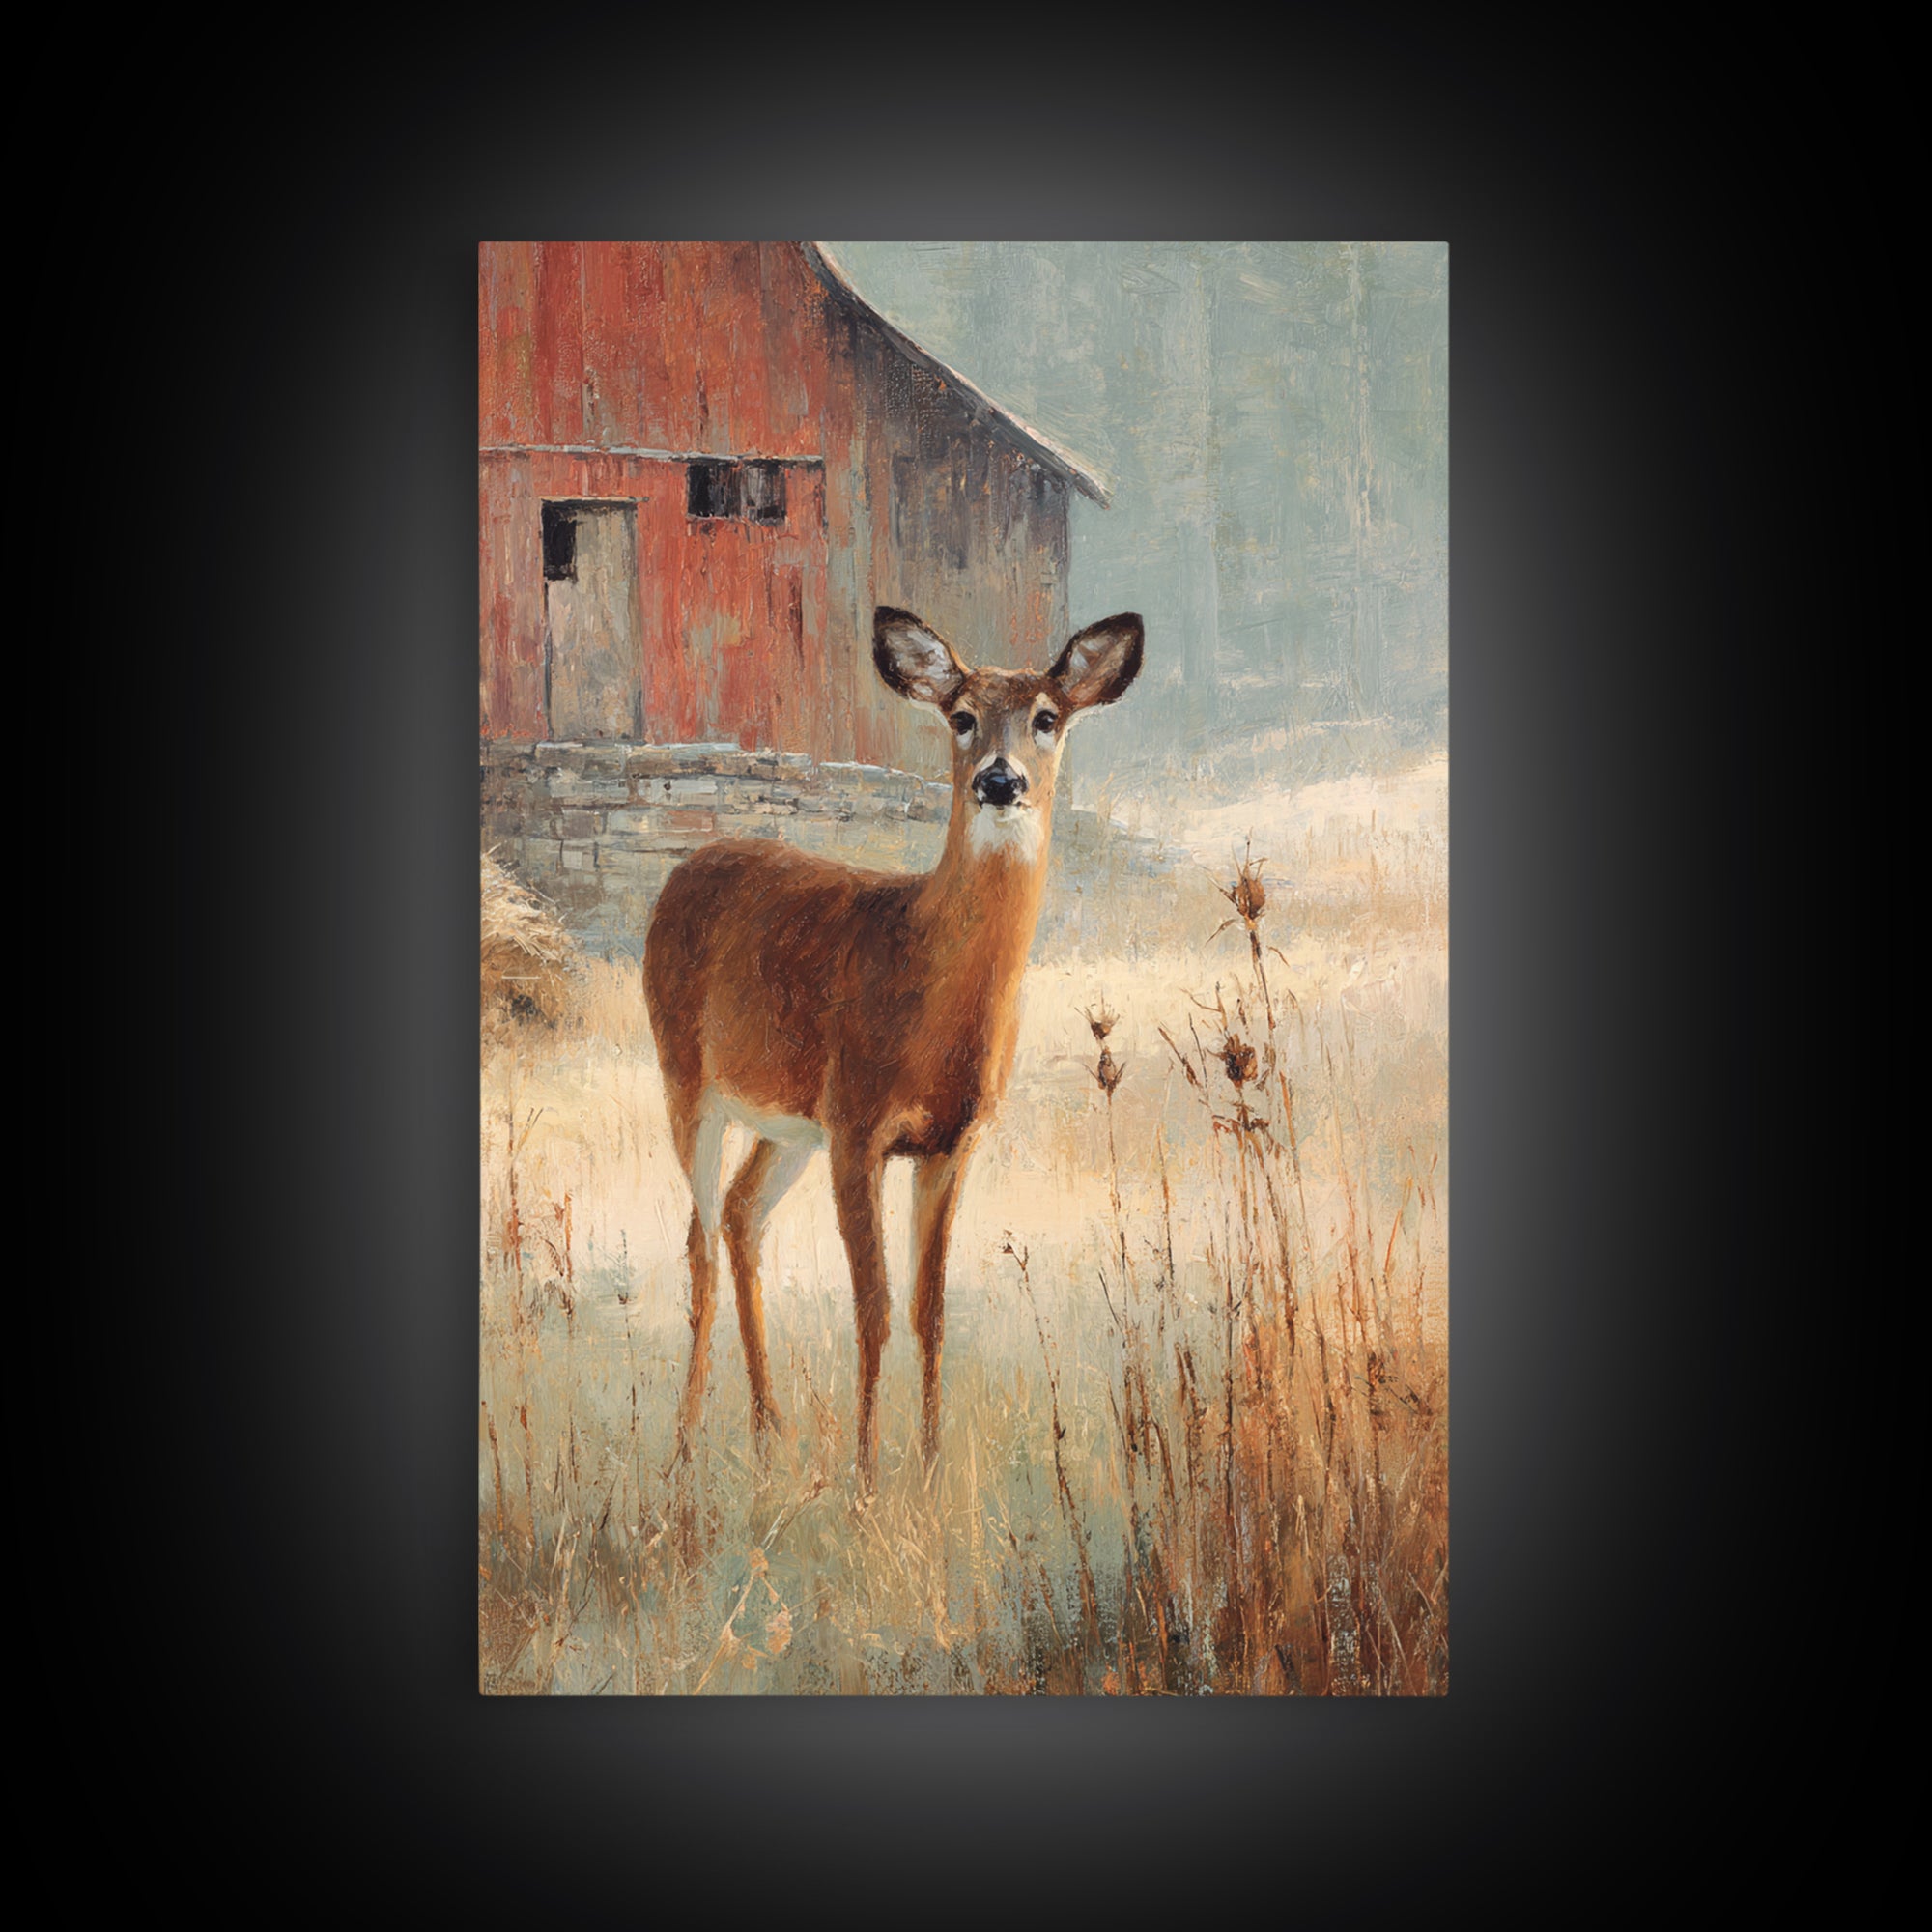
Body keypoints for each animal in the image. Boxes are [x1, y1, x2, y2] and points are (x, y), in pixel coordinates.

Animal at [643, 605, 1144, 1489]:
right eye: (961, 717)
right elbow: (872, 1308)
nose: (1000, 781)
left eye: (1047, 718)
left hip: (786, 1122)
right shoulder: (857, 1125)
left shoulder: (950, 1142)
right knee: (699, 1243)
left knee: (740, 1215)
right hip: (688, 1078)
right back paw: (686, 1445)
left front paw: (932, 1464)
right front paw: (868, 1476)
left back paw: (769, 1429)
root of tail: (685, 867)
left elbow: (928, 1311)